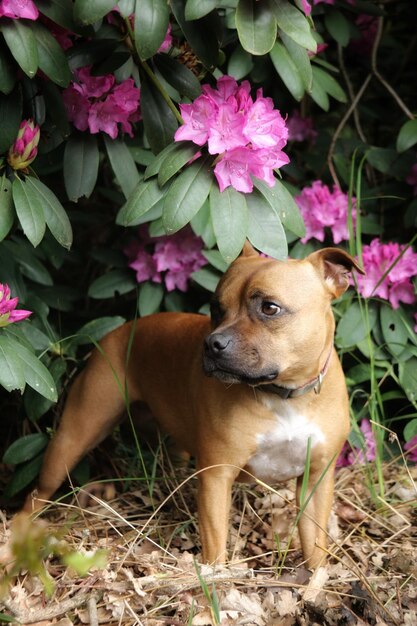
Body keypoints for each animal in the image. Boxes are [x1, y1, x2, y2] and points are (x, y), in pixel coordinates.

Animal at [23, 243, 360, 564]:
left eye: (269, 307)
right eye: (216, 308)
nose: (213, 344)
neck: (284, 396)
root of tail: (119, 331)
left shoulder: (316, 480)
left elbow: (314, 544)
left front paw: (315, 579)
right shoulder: (217, 476)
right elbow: (216, 544)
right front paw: (216, 579)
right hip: (72, 438)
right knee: (38, 494)